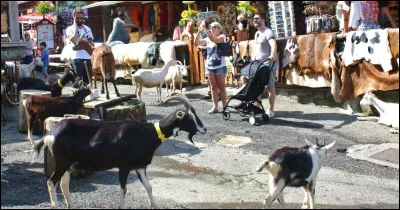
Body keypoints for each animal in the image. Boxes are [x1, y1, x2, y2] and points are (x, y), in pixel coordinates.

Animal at [34, 93, 208, 208]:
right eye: (189, 117)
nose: (204, 129)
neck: (149, 133)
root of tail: (50, 134)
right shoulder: (124, 166)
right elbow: (124, 189)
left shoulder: (140, 167)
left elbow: (149, 187)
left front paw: (155, 205)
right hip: (62, 161)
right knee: (51, 182)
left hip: (69, 163)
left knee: (63, 184)